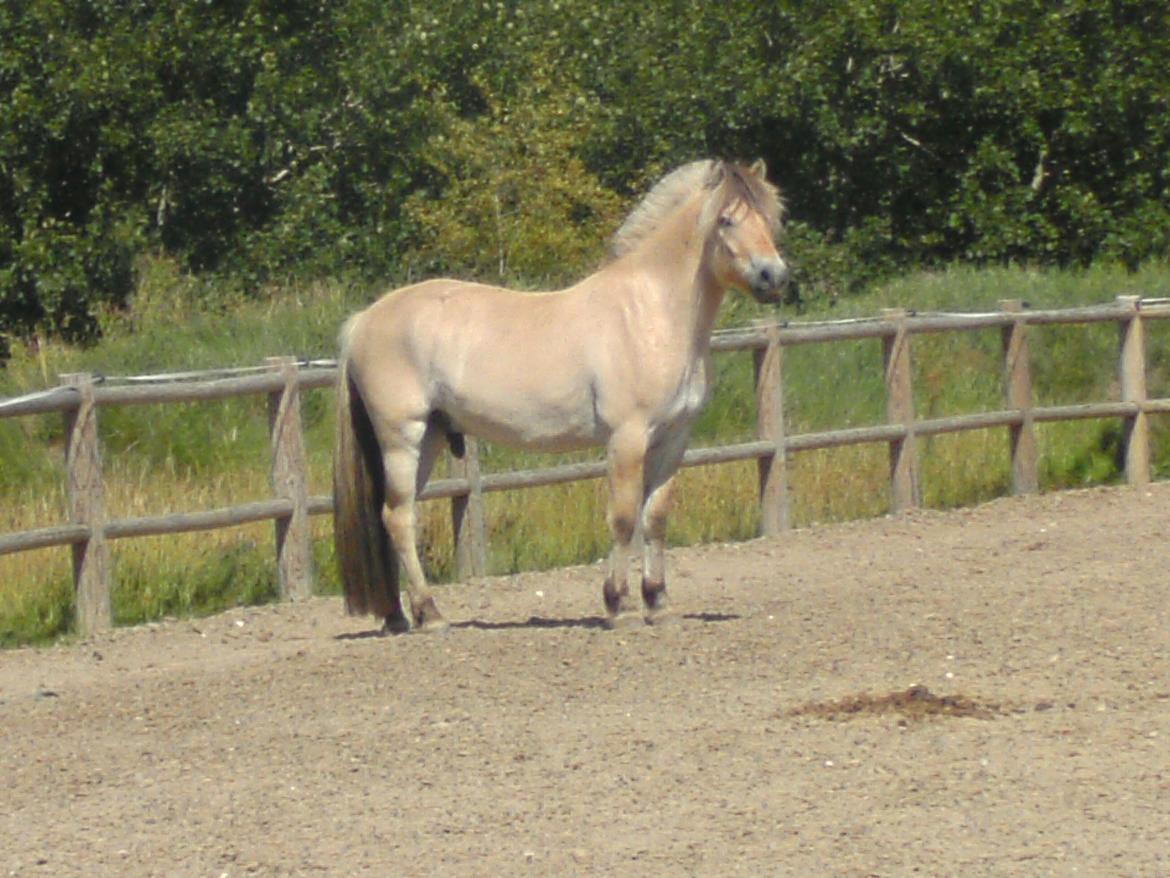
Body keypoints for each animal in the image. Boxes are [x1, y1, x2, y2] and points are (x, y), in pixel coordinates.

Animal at [332, 160, 786, 632]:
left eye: (771, 217)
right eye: (726, 219)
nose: (774, 276)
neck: (650, 313)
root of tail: (364, 319)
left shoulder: (674, 439)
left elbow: (655, 517)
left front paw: (658, 603)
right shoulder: (628, 437)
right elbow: (624, 518)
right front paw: (617, 605)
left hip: (431, 437)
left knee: (392, 516)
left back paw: (399, 616)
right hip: (403, 438)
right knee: (400, 517)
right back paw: (431, 614)